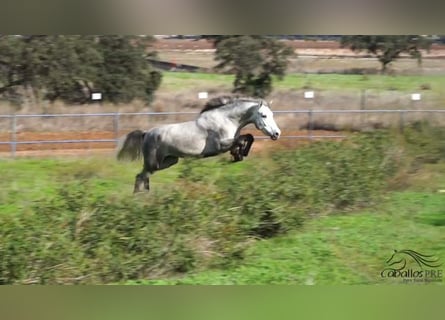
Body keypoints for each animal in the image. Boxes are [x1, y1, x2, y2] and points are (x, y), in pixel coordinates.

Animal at [116, 95, 280, 192]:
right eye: (263, 115)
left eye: (272, 114)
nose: (277, 134)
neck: (226, 119)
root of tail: (146, 133)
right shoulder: (221, 145)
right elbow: (243, 139)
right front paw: (237, 156)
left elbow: (247, 138)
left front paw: (238, 155)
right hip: (153, 164)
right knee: (140, 177)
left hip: (169, 161)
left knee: (144, 177)